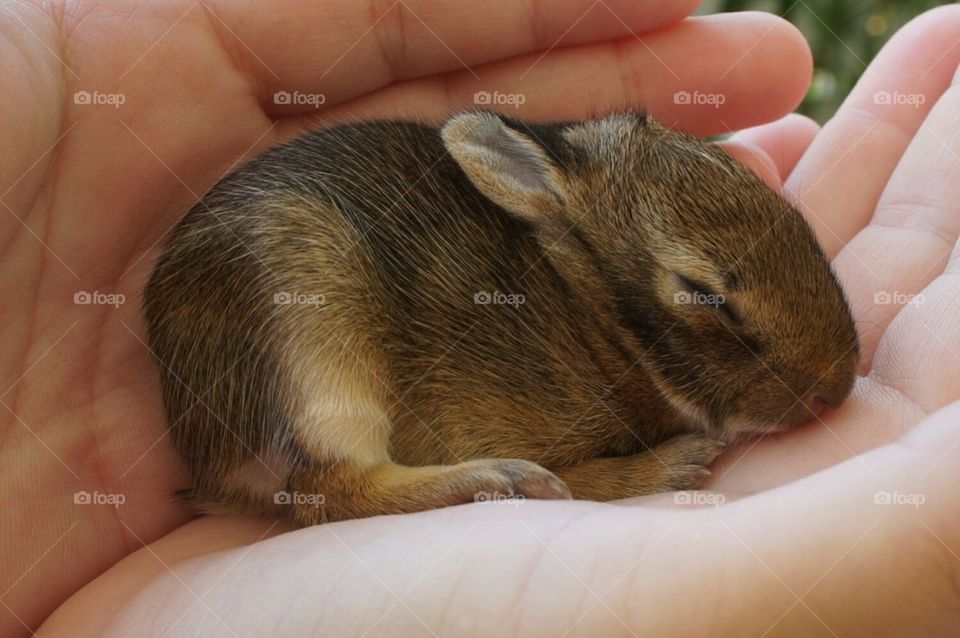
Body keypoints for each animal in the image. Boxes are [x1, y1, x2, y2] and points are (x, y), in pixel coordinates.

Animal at [143, 110, 859, 525]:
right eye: (703, 292)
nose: (838, 386)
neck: (598, 319)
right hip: (312, 333)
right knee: (331, 489)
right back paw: (514, 479)